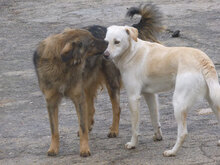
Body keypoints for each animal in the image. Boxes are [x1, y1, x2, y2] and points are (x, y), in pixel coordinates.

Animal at [103, 25, 220, 157]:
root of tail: (203, 60)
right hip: (212, 102)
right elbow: (154, 118)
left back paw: (172, 152)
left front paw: (133, 144)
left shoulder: (133, 97)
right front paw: (158, 136)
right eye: (106, 42)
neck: (132, 52)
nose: (105, 55)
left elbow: (134, 127)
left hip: (178, 104)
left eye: (117, 42)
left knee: (183, 133)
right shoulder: (150, 95)